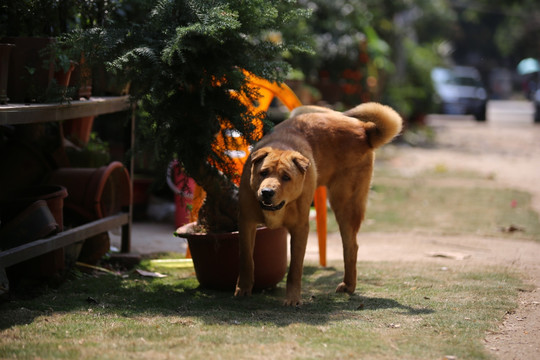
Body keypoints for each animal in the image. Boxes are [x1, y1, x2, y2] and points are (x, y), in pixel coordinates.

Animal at [234, 102, 402, 306]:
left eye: (286, 177)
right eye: (263, 172)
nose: (266, 192)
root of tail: (364, 129)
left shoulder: (300, 229)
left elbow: (295, 269)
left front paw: (292, 299)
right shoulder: (246, 222)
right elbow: (246, 260)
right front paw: (243, 289)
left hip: (344, 205)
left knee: (351, 246)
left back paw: (349, 285)